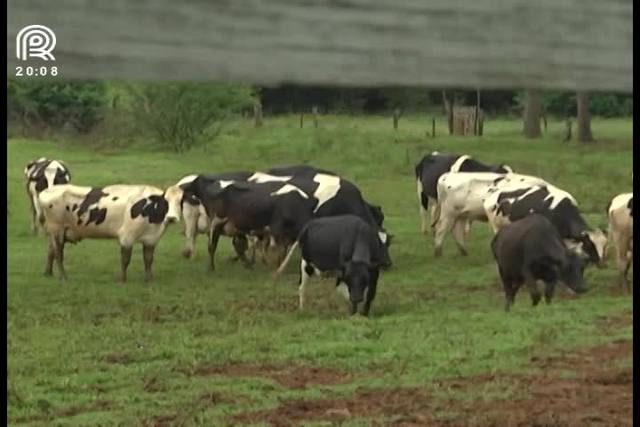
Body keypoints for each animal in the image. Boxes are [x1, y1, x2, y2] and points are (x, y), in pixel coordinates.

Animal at [37, 183, 182, 280]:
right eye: (165, 201)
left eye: (180, 202)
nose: (172, 218)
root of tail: (48, 190)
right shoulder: (126, 237)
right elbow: (125, 260)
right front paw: (122, 280)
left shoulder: (151, 239)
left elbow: (148, 259)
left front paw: (148, 279)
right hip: (57, 230)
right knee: (58, 254)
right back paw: (63, 277)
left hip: (56, 232)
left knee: (51, 251)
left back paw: (48, 273)